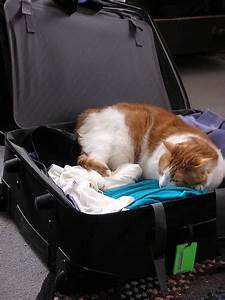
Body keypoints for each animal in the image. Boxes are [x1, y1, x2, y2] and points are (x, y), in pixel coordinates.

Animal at [76, 103, 225, 190]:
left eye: (175, 179)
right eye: (162, 171)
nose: (161, 186)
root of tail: (88, 113)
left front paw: (198, 186)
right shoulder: (148, 168)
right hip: (105, 145)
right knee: (88, 164)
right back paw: (99, 179)